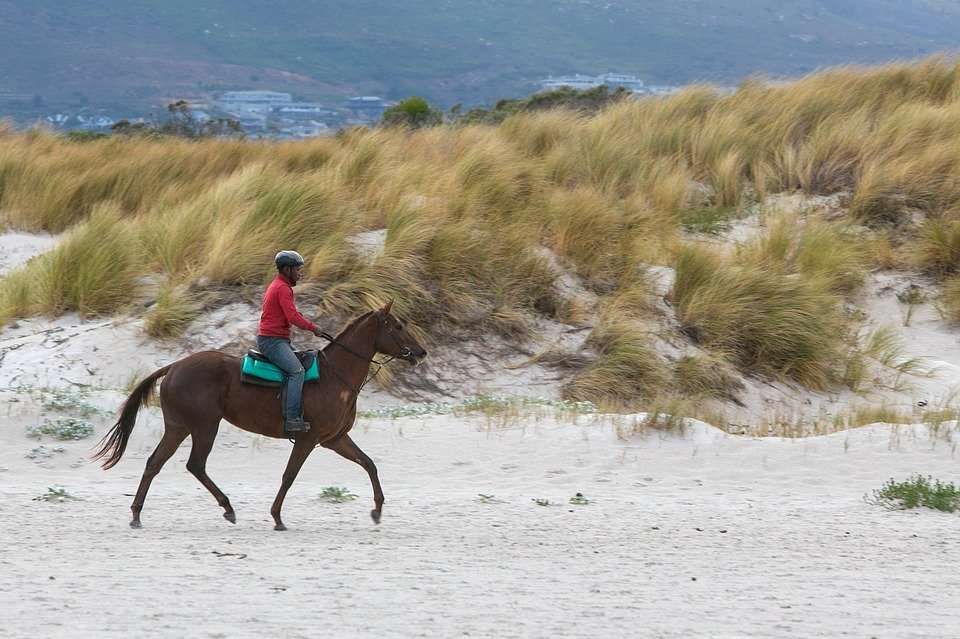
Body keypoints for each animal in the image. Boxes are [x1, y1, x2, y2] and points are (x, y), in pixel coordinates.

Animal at [93, 301, 427, 530]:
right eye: (397, 326)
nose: (421, 352)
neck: (336, 376)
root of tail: (174, 366)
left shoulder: (335, 439)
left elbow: (369, 464)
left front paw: (378, 510)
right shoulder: (308, 438)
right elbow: (289, 475)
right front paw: (277, 517)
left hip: (178, 427)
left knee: (155, 463)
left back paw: (137, 514)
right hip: (204, 426)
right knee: (195, 465)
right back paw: (227, 507)